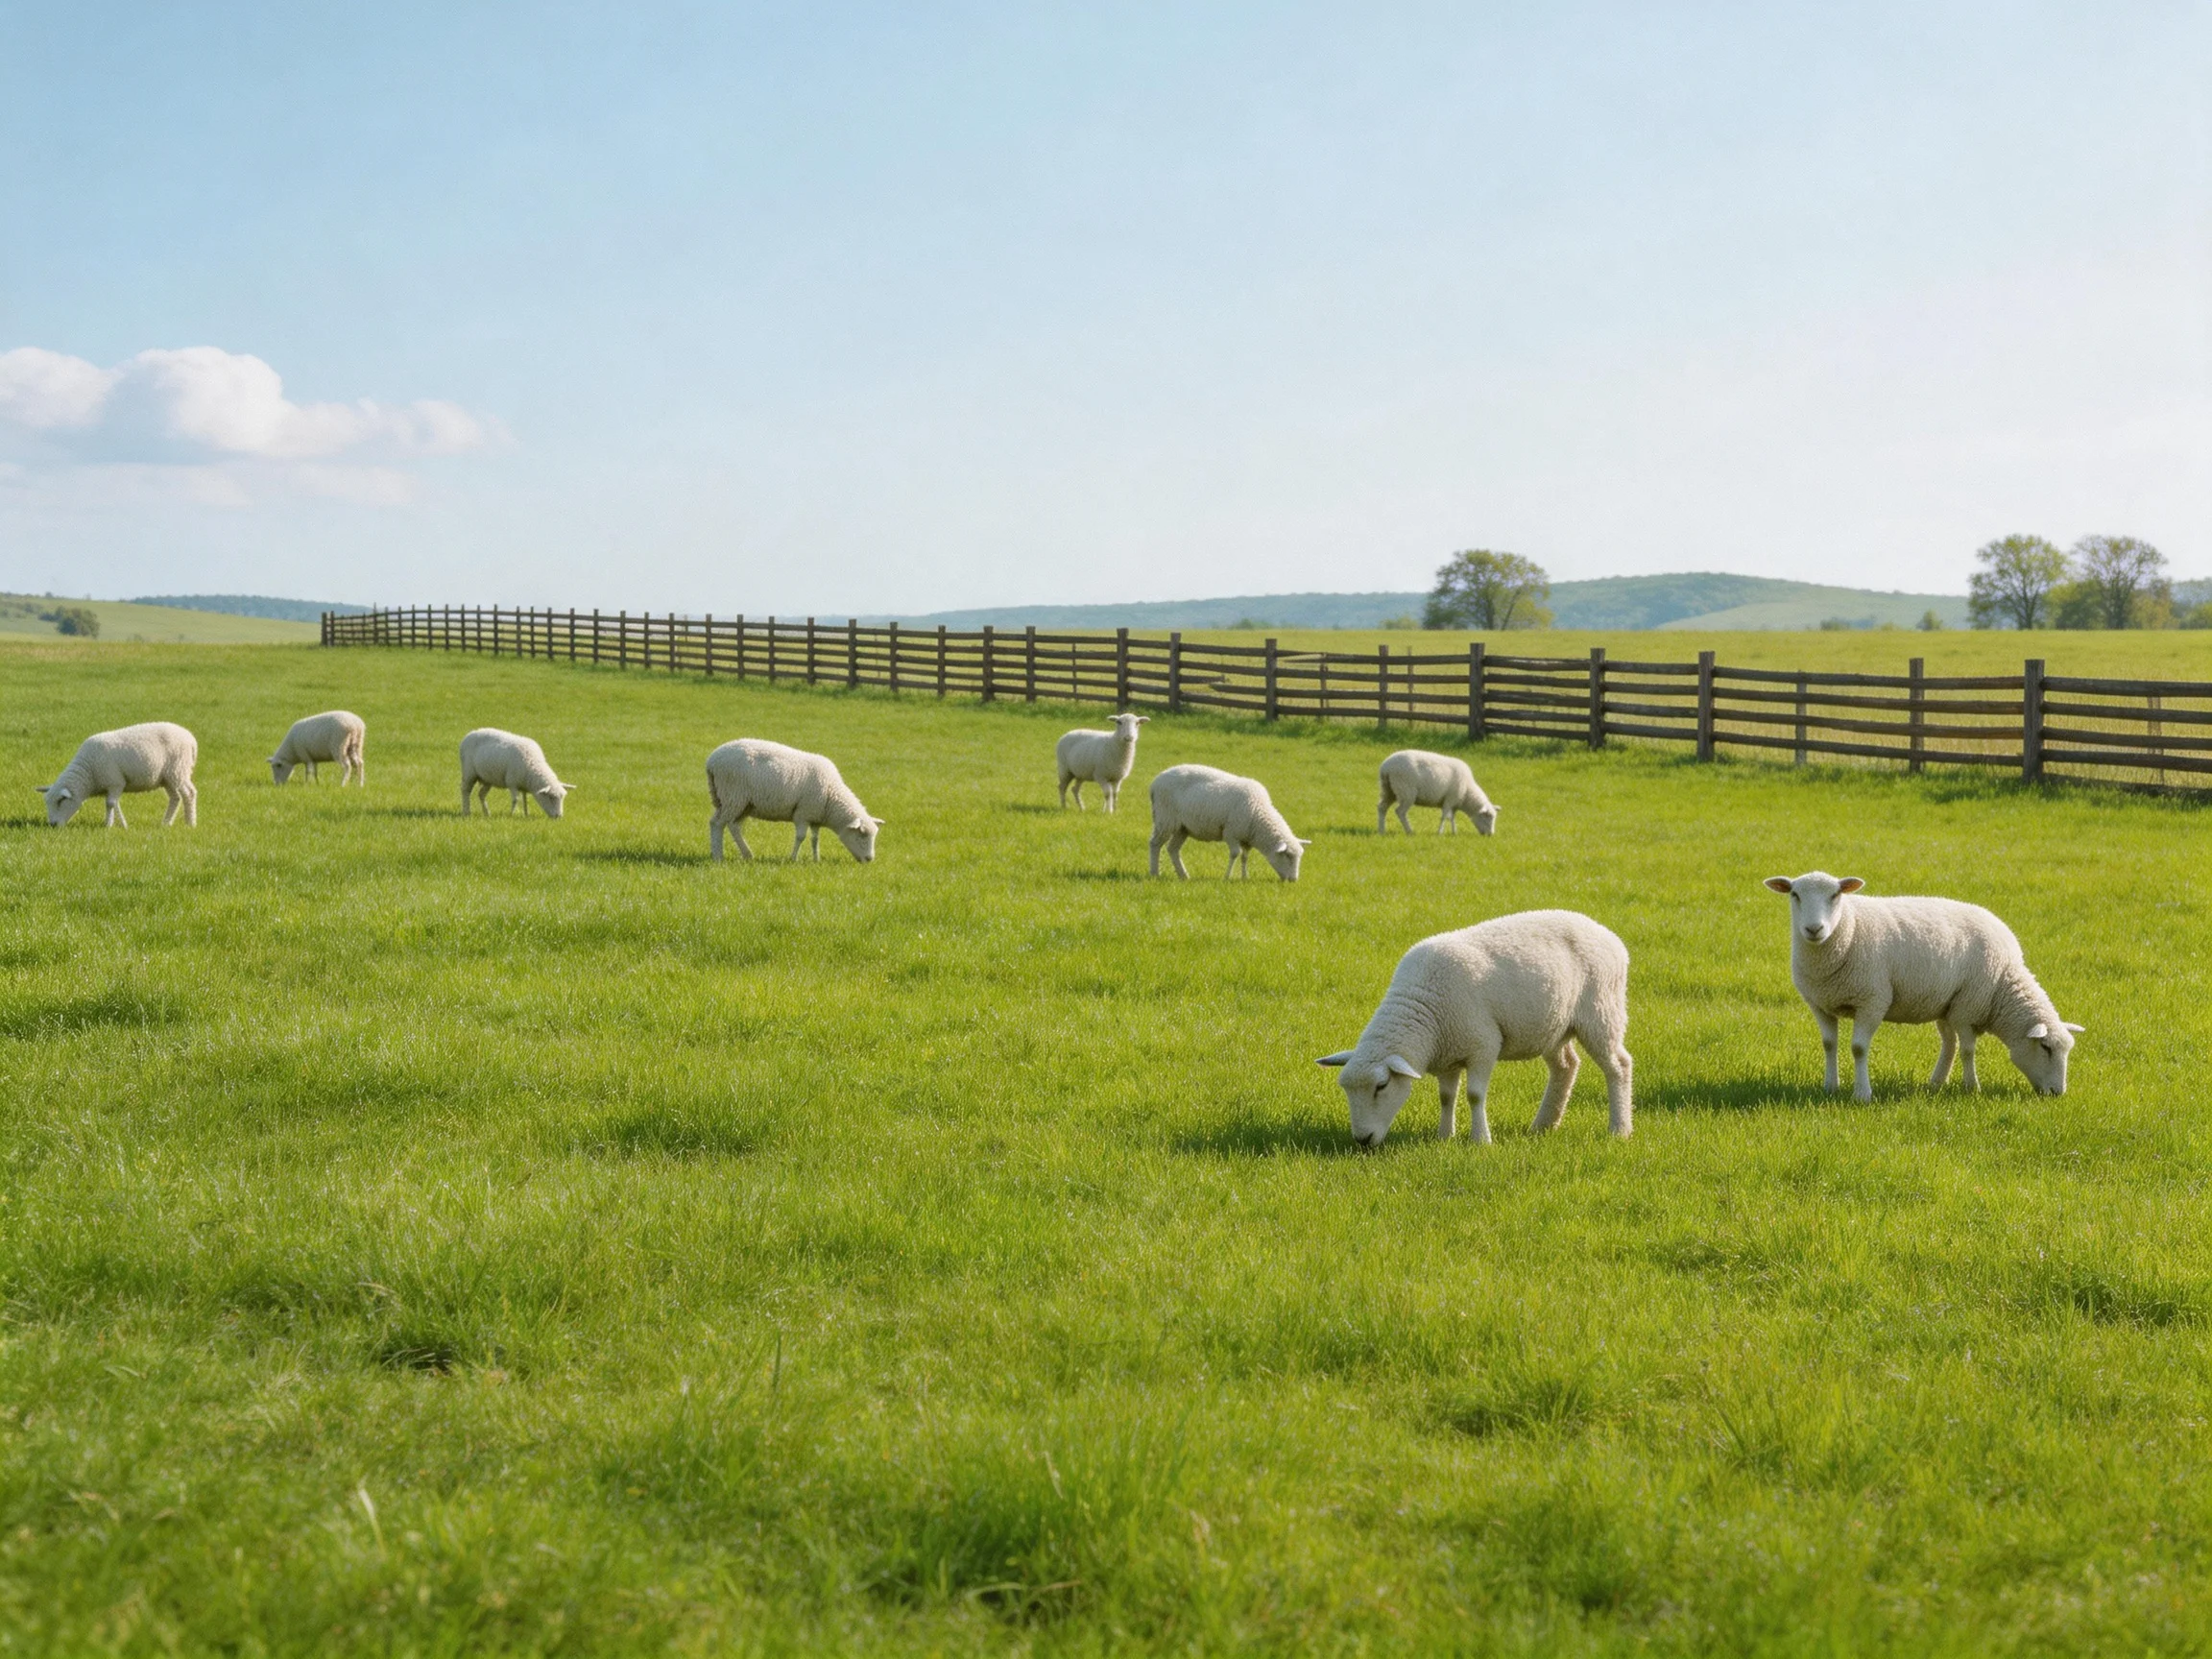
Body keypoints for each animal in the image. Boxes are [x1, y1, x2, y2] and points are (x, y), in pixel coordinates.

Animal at [36, 722, 199, 828]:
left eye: (60, 801)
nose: (52, 825)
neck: (88, 773)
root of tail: (191, 739)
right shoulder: (112, 785)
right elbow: (113, 804)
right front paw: (116, 823)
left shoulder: (115, 782)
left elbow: (110, 803)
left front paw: (110, 825)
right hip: (168, 777)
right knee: (175, 797)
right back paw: (166, 823)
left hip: (178, 770)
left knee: (189, 793)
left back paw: (190, 823)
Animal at [707, 738, 883, 863]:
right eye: (862, 836)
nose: (870, 859)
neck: (831, 796)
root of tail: (712, 760)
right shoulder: (802, 814)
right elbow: (801, 837)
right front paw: (793, 858)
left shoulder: (815, 816)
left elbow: (814, 839)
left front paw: (816, 859)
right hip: (733, 796)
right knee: (718, 824)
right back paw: (718, 856)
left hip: (738, 802)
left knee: (732, 826)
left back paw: (746, 854)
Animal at [1148, 763, 1310, 881]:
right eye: (1287, 856)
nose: (1294, 880)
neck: (1258, 814)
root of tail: (1156, 781)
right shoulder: (1231, 833)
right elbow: (1235, 854)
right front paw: (1227, 876)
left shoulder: (1246, 838)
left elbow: (1244, 857)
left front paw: (1244, 877)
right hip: (1165, 819)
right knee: (1155, 844)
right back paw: (1155, 873)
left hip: (1182, 828)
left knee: (1172, 849)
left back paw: (1184, 875)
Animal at [1319, 910, 1632, 1145]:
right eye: (1346, 1089)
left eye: (1381, 1086)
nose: (1362, 1140)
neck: (1424, 1010)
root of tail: (1608, 935)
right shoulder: (1447, 1053)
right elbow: (1446, 1097)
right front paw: (1444, 1137)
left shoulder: (1483, 1045)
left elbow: (1474, 1095)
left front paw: (1481, 1139)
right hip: (1553, 1025)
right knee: (1566, 1066)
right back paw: (1543, 1125)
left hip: (1601, 1012)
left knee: (1619, 1066)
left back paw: (1620, 1129)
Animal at [1763, 871, 2082, 1100]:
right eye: (1795, 894)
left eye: (1835, 895)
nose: (2057, 1093)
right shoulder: (1821, 1003)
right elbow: (1833, 1045)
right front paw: (1835, 1088)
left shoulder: (1877, 1000)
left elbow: (1859, 1048)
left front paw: (1971, 1087)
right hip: (1947, 1004)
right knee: (1950, 1043)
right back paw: (1936, 1083)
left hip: (1947, 1003)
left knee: (1949, 1043)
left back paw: (1936, 1083)